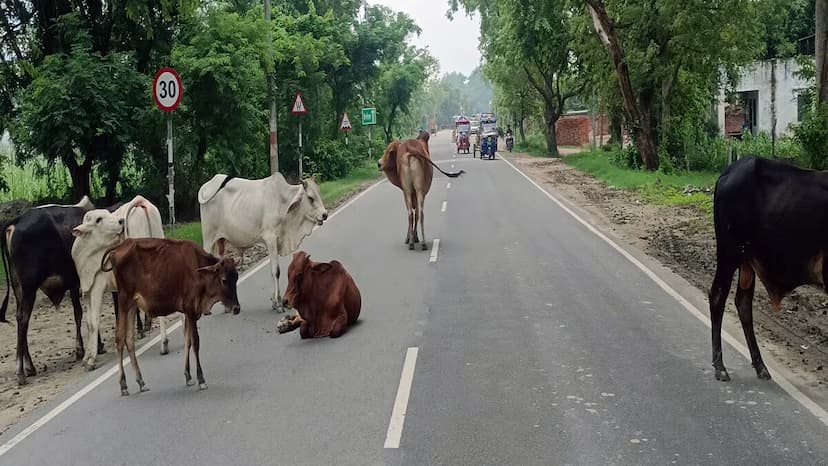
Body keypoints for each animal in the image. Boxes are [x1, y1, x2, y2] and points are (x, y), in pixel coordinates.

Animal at [71, 195, 168, 370]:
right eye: (98, 219)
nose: (121, 221)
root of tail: (141, 202)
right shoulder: (88, 288)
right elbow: (89, 323)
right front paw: (87, 357)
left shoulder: (97, 286)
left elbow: (94, 322)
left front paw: (91, 360)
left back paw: (164, 344)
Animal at [102, 238, 241, 396]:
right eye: (224, 280)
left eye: (236, 277)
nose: (236, 308)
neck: (198, 271)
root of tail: (120, 245)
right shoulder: (190, 310)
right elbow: (195, 342)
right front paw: (201, 380)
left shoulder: (189, 313)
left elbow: (188, 340)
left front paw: (188, 376)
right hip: (123, 300)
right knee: (119, 339)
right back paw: (123, 385)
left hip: (132, 304)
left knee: (129, 339)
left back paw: (141, 382)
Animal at [199, 173, 328, 312]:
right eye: (310, 198)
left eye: (319, 193)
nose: (325, 214)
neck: (282, 202)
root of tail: (207, 185)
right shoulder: (270, 238)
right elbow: (276, 271)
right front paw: (278, 304)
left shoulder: (275, 243)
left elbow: (273, 270)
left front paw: (276, 302)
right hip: (208, 239)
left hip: (220, 241)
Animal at [708, 157, 824, 382]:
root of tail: (729, 171)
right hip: (729, 254)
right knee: (718, 296)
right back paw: (720, 366)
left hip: (747, 261)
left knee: (743, 303)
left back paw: (760, 365)